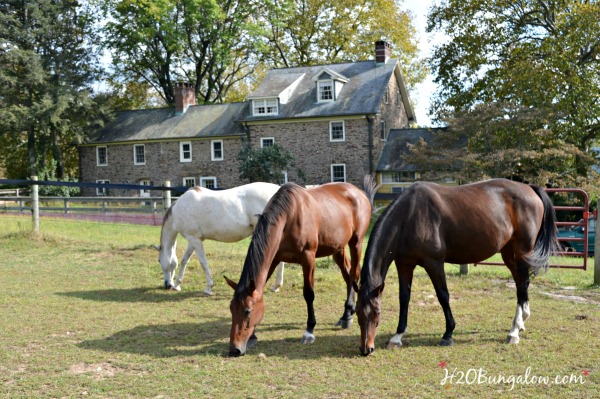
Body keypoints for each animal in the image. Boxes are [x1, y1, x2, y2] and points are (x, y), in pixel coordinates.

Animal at [225, 180, 376, 358]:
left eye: (247, 311)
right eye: (231, 309)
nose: (234, 349)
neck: (289, 217)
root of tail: (360, 193)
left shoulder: (308, 257)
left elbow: (309, 294)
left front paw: (309, 330)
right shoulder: (274, 259)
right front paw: (253, 336)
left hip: (356, 243)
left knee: (353, 275)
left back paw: (347, 315)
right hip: (338, 248)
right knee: (347, 277)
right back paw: (347, 314)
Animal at [352, 179, 556, 356]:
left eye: (377, 313)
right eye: (357, 313)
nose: (366, 349)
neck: (409, 216)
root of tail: (529, 188)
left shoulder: (434, 263)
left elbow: (443, 296)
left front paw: (448, 334)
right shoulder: (404, 264)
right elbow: (404, 298)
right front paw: (397, 336)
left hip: (522, 251)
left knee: (522, 284)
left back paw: (513, 332)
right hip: (508, 253)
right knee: (521, 283)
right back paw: (521, 321)